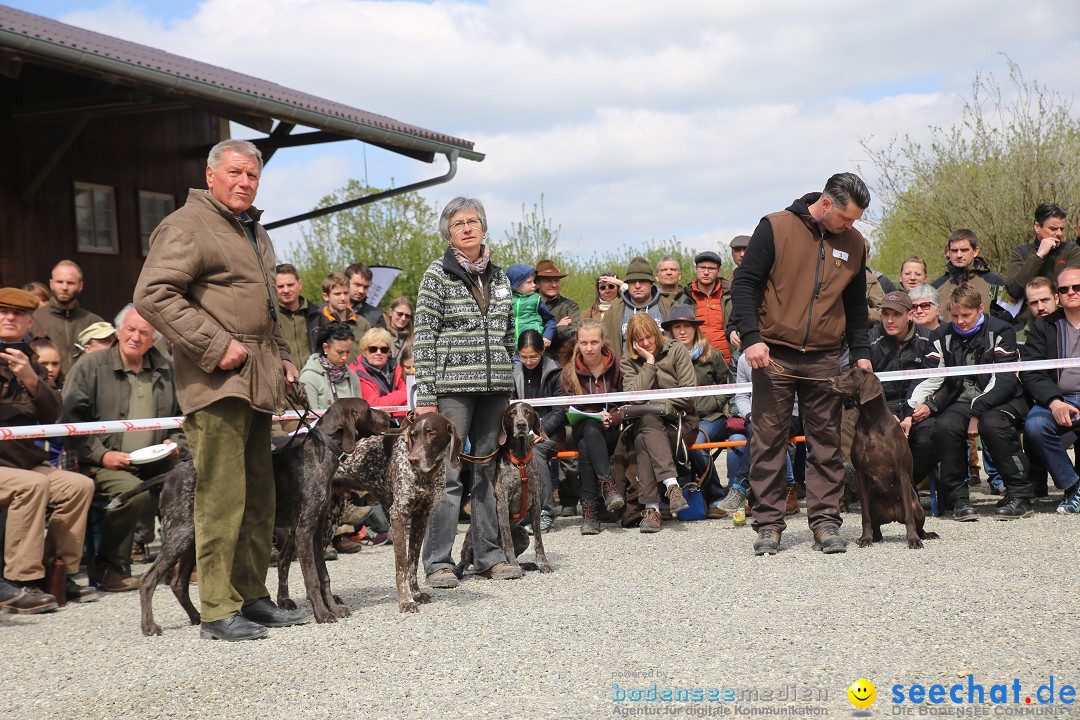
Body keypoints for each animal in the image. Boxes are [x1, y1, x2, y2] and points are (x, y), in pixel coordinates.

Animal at [455, 405, 557, 578]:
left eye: (528, 412)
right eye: (512, 414)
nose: (521, 424)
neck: (520, 460)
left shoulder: (536, 503)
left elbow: (538, 540)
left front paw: (543, 564)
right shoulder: (503, 503)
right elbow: (507, 542)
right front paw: (514, 567)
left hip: (523, 534)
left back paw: (526, 565)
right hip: (469, 547)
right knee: (465, 563)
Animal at [829, 369, 941, 548]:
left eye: (853, 375)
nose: (829, 380)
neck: (872, 423)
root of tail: (893, 515)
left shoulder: (901, 472)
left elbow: (909, 516)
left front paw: (913, 540)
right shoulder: (860, 474)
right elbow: (865, 516)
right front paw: (865, 538)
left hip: (918, 507)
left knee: (918, 524)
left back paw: (925, 535)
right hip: (875, 505)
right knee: (877, 528)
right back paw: (873, 537)